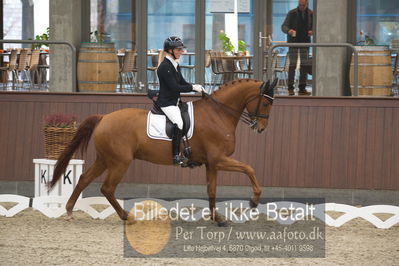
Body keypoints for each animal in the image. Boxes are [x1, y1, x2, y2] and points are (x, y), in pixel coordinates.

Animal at [50, 78, 278, 225]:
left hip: (105, 159)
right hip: (120, 162)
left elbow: (212, 191)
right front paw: (254, 200)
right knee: (107, 188)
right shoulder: (220, 159)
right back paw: (126, 217)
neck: (218, 114)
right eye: (266, 102)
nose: (261, 128)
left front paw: (218, 219)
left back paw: (69, 211)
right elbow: (249, 168)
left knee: (84, 179)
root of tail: (104, 117)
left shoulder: (211, 163)